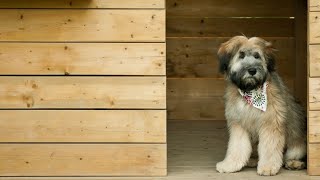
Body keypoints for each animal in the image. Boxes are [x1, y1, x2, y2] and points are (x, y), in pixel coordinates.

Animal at [216, 35, 306, 176]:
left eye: (257, 56)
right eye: (241, 55)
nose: (252, 70)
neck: (250, 90)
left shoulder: (271, 122)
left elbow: (269, 147)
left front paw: (268, 167)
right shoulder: (238, 124)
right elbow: (237, 147)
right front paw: (230, 165)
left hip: (298, 144)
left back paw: (294, 163)